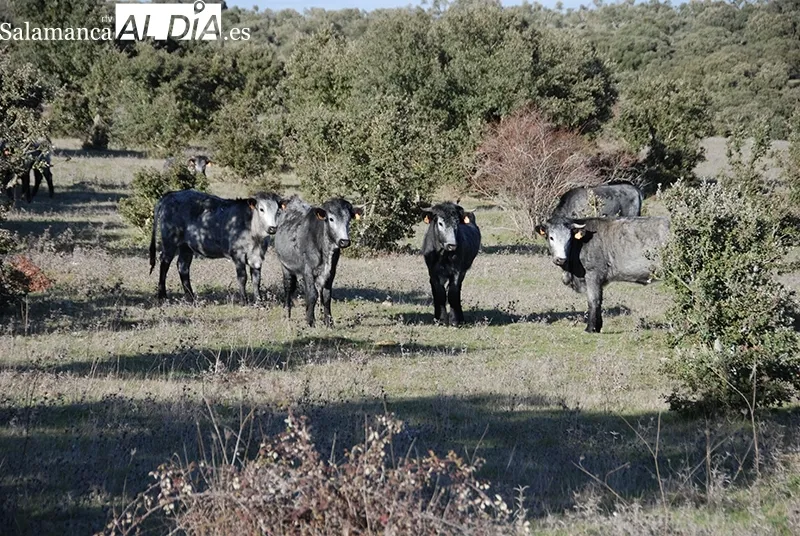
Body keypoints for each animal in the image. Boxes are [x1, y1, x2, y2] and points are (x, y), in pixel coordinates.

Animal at [149, 190, 284, 304]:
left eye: (278, 211)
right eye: (261, 209)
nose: (272, 228)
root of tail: (171, 194)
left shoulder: (257, 256)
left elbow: (256, 279)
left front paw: (258, 301)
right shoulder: (237, 254)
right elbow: (242, 277)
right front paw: (244, 301)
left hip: (186, 246)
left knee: (183, 266)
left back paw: (191, 297)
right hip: (170, 241)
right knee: (164, 263)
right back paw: (162, 295)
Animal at [274, 196, 362, 327]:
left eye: (349, 220)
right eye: (331, 219)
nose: (344, 241)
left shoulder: (331, 271)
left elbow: (326, 295)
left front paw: (329, 322)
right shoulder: (308, 270)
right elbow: (312, 294)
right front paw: (310, 321)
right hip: (286, 266)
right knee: (288, 288)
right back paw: (287, 315)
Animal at [536, 216, 669, 333]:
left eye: (569, 239)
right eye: (551, 237)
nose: (561, 259)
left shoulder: (593, 275)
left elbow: (593, 300)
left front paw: (591, 328)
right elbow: (599, 301)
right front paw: (598, 327)